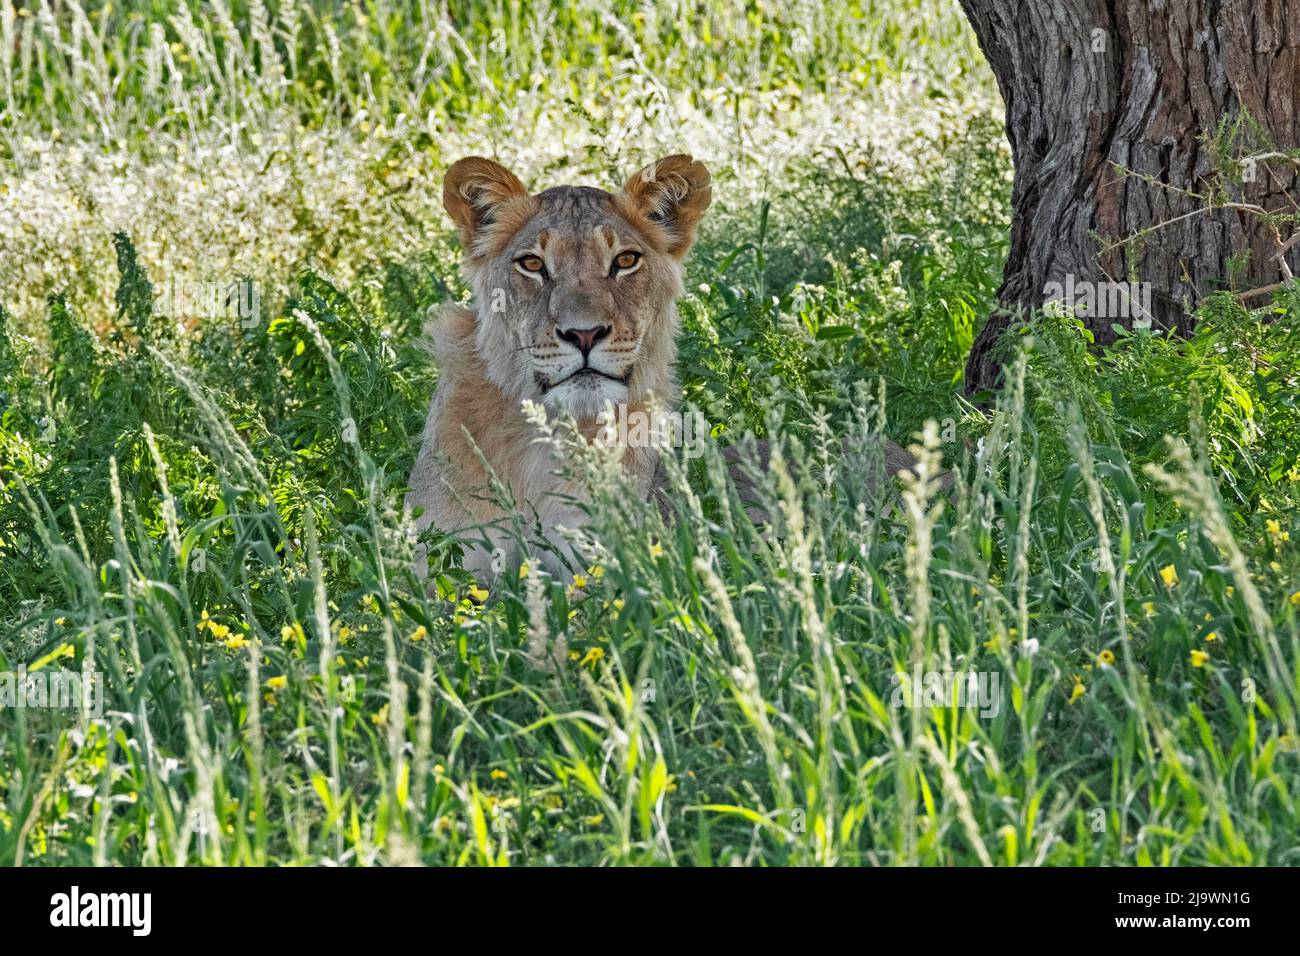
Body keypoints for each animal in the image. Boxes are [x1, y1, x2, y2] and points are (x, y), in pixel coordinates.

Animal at [407, 154, 926, 580]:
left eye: (625, 260)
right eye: (533, 264)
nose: (584, 335)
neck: (544, 437)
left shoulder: (619, 569)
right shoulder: (440, 563)